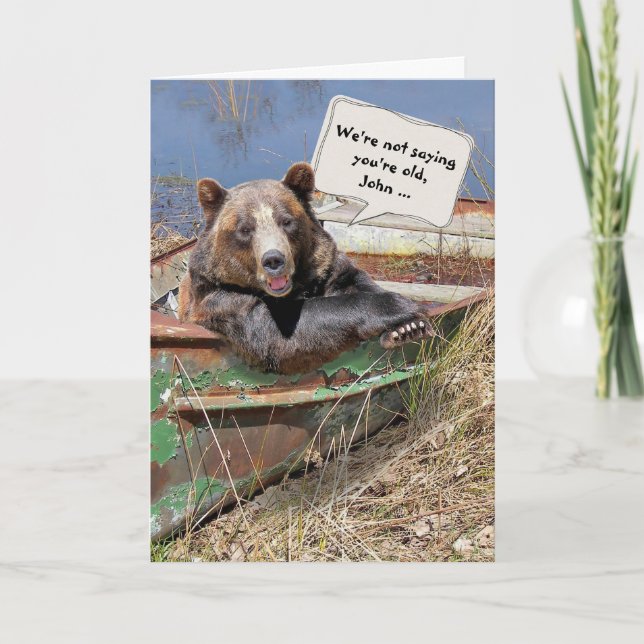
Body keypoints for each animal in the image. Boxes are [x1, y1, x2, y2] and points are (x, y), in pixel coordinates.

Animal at [178, 162, 433, 375]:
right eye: (245, 228)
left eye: (286, 221)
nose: (274, 260)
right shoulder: (222, 299)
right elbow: (278, 331)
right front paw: (399, 306)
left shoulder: (325, 268)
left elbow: (354, 281)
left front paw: (408, 328)